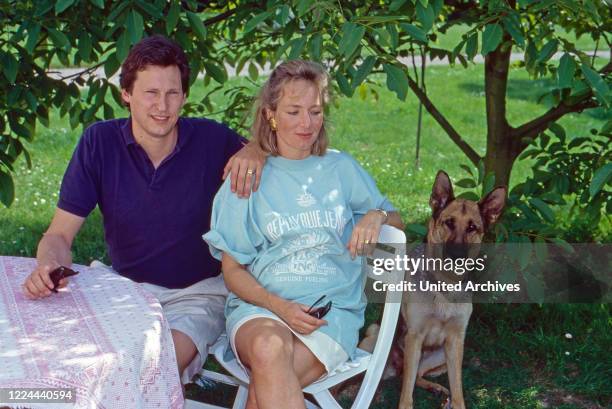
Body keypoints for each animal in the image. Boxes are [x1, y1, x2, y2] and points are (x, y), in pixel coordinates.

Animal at [396, 170, 506, 408]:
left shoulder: (455, 341)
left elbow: (457, 390)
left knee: (419, 375)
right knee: (407, 376)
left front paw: (455, 401)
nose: (456, 256)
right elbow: (406, 392)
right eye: (448, 223)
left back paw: (436, 388)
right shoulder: (414, 337)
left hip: (442, 356)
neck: (445, 285)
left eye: (472, 227)